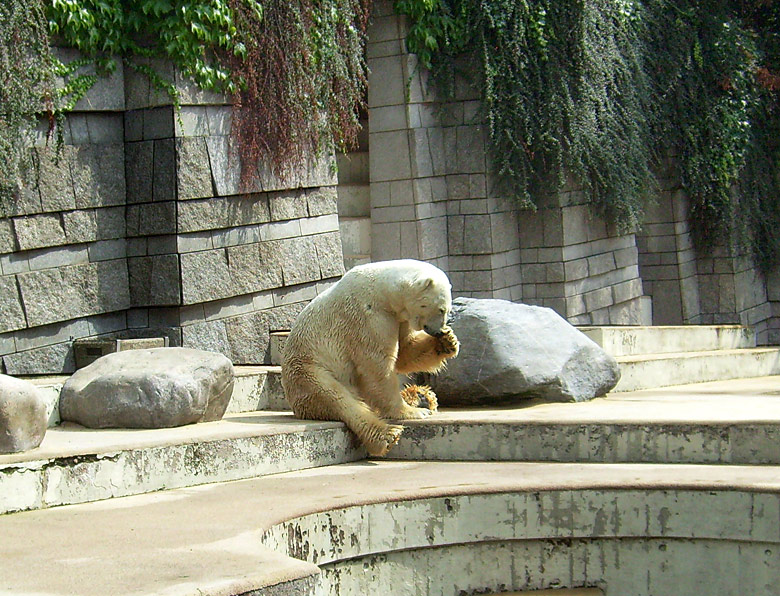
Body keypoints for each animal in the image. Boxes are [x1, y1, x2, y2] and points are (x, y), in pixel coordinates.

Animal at [280, 260, 458, 456]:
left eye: (448, 310)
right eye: (441, 309)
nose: (439, 331)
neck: (383, 292)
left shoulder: (399, 318)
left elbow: (406, 349)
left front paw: (448, 341)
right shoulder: (368, 318)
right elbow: (377, 365)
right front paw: (409, 412)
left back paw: (421, 396)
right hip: (309, 370)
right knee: (336, 398)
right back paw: (388, 434)